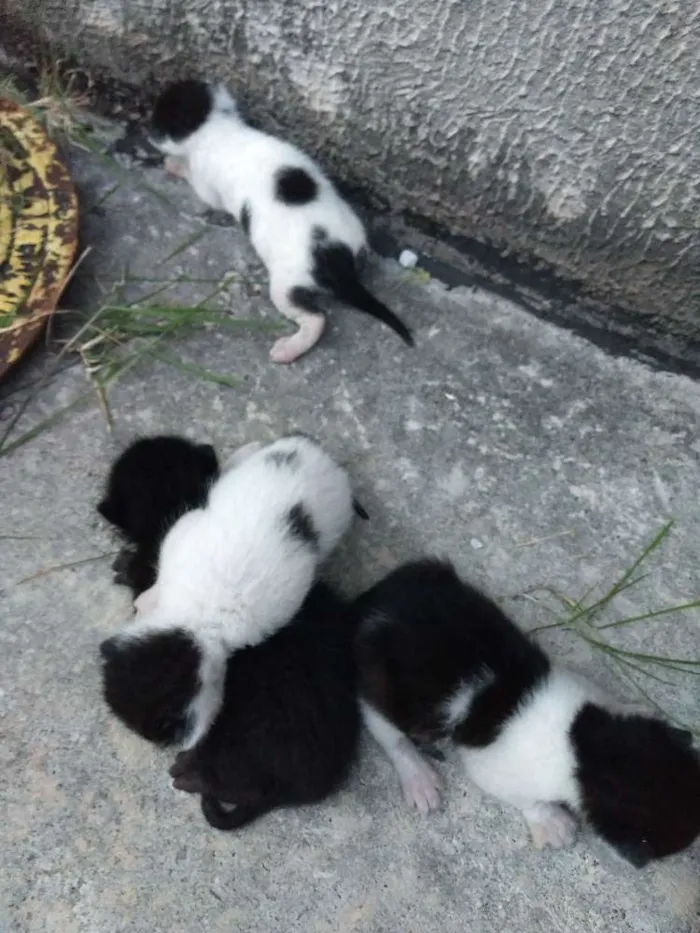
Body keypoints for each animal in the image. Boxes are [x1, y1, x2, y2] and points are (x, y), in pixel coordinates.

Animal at [148, 78, 410, 362]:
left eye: (158, 120)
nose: (148, 132)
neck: (220, 127)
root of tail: (335, 256)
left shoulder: (206, 185)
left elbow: (194, 180)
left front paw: (174, 165)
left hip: (287, 285)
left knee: (316, 319)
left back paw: (288, 349)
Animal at [356, 552, 700, 868]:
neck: (583, 747)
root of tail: (368, 608)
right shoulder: (493, 770)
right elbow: (526, 800)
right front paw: (552, 822)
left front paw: (632, 705)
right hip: (380, 690)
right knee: (389, 734)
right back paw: (418, 777)